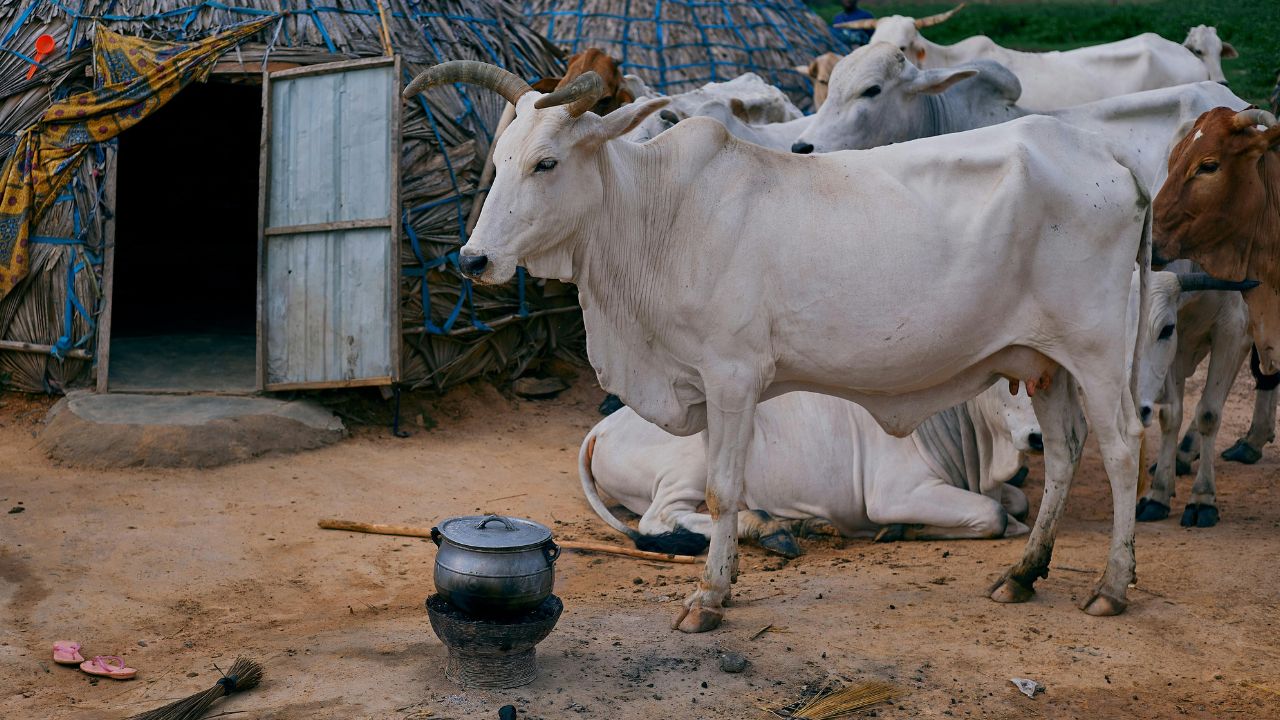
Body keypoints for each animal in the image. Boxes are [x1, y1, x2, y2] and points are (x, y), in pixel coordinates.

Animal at [579, 381, 1041, 559]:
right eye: (1009, 384)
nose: (1038, 438)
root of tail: (603, 426)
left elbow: (1016, 501)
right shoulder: (895, 494)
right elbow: (996, 514)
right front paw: (903, 530)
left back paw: (801, 524)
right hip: (691, 462)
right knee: (661, 519)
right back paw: (769, 527)